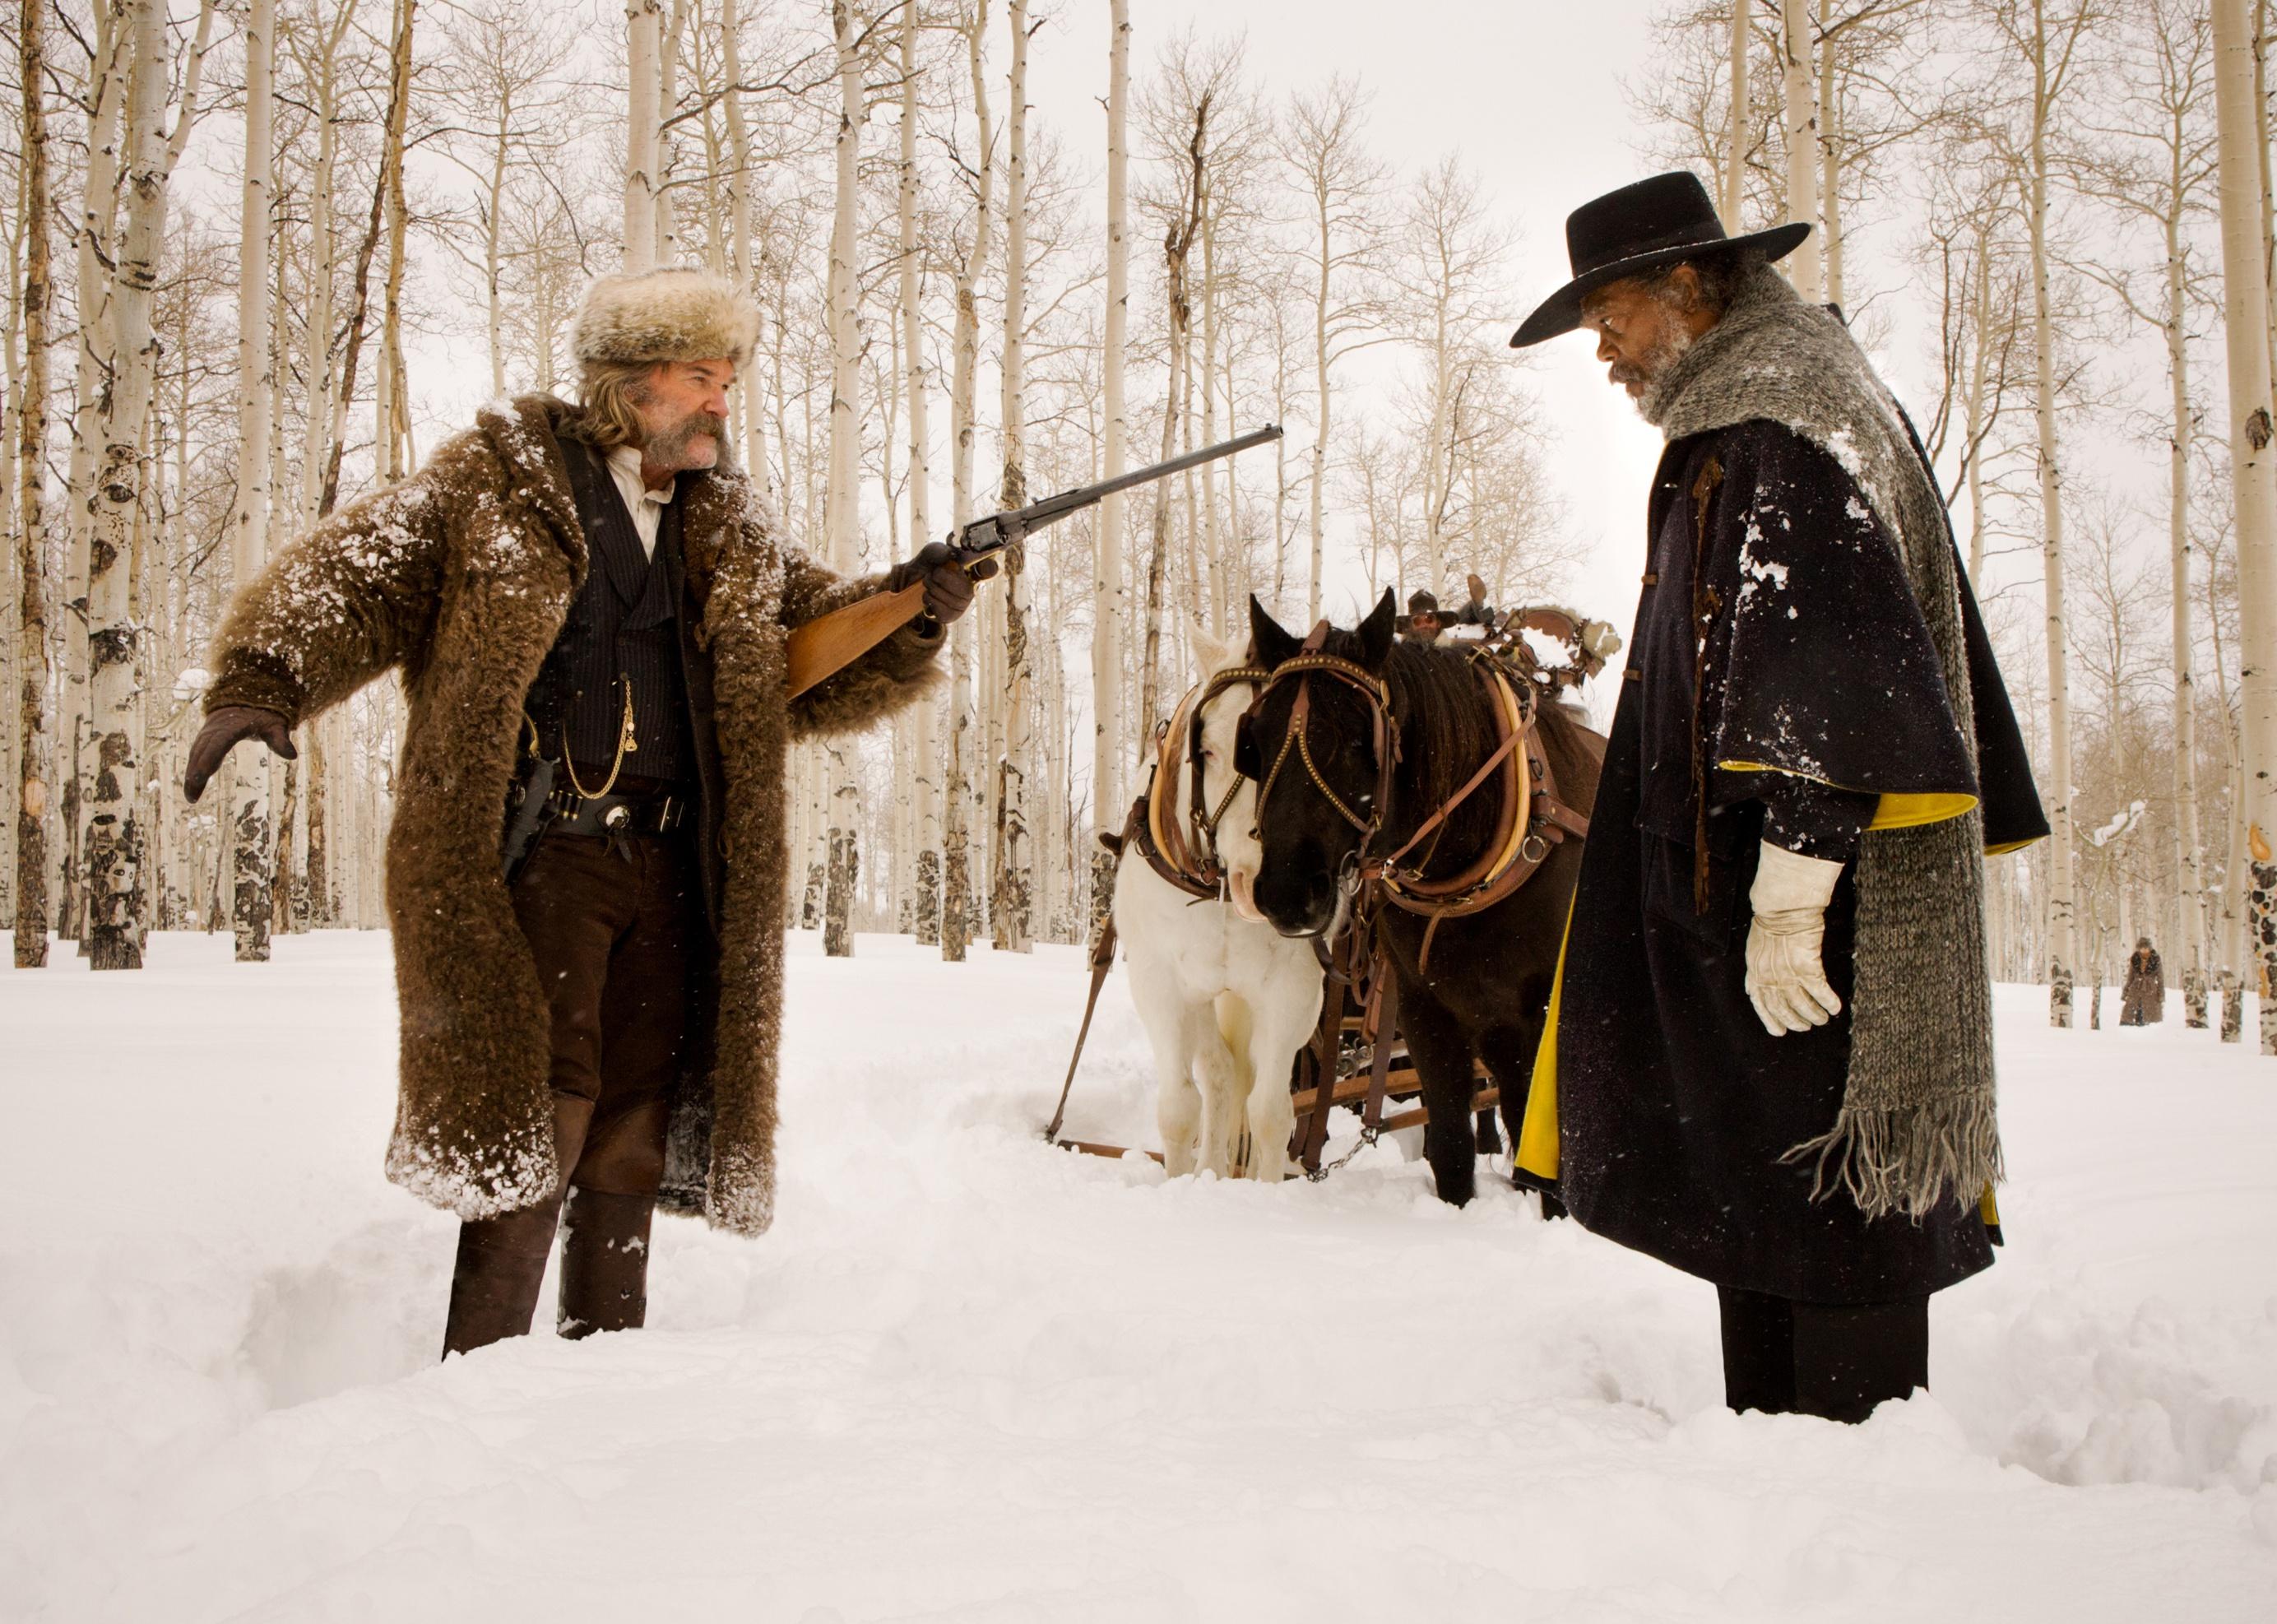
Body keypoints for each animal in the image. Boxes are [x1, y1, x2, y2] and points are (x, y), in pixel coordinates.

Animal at [1111, 624, 1329, 1175]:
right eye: (1206, 749)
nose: (1265, 884)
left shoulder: (1293, 993)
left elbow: (1272, 1114)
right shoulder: (1161, 985)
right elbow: (1180, 1109)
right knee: (1220, 1073)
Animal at [1247, 596, 1602, 1202]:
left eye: (1355, 740)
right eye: (1257, 739)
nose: (1285, 893)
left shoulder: (1543, 1019)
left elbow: (1543, 1163)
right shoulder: (1425, 1009)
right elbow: (1452, 1150)